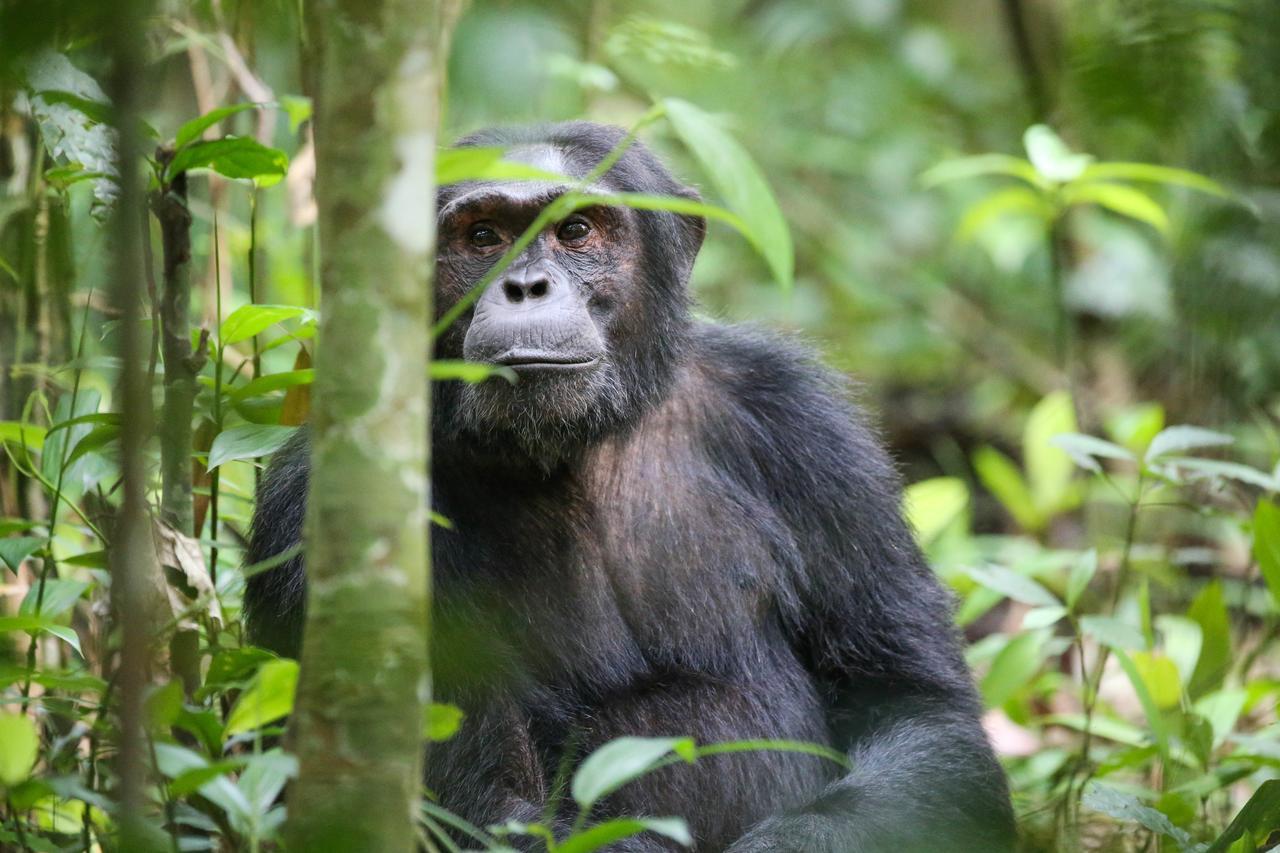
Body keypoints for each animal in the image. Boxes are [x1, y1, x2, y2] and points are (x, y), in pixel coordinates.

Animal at [244, 121, 1013, 850]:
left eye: (576, 231)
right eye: (484, 236)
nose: (525, 286)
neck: (578, 446)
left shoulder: (807, 432)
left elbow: (915, 705)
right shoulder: (309, 508)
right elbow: (476, 803)